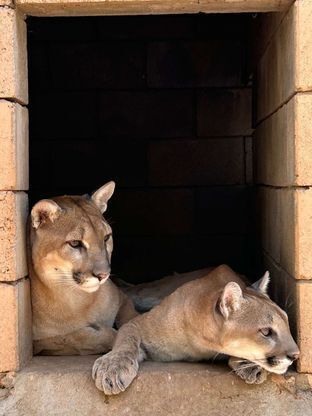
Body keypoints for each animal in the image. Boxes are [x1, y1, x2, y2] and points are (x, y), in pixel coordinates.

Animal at [92, 266, 300, 394]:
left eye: (287, 324)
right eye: (266, 332)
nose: (296, 355)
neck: (202, 342)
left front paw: (249, 365)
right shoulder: (137, 323)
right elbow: (125, 341)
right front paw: (112, 369)